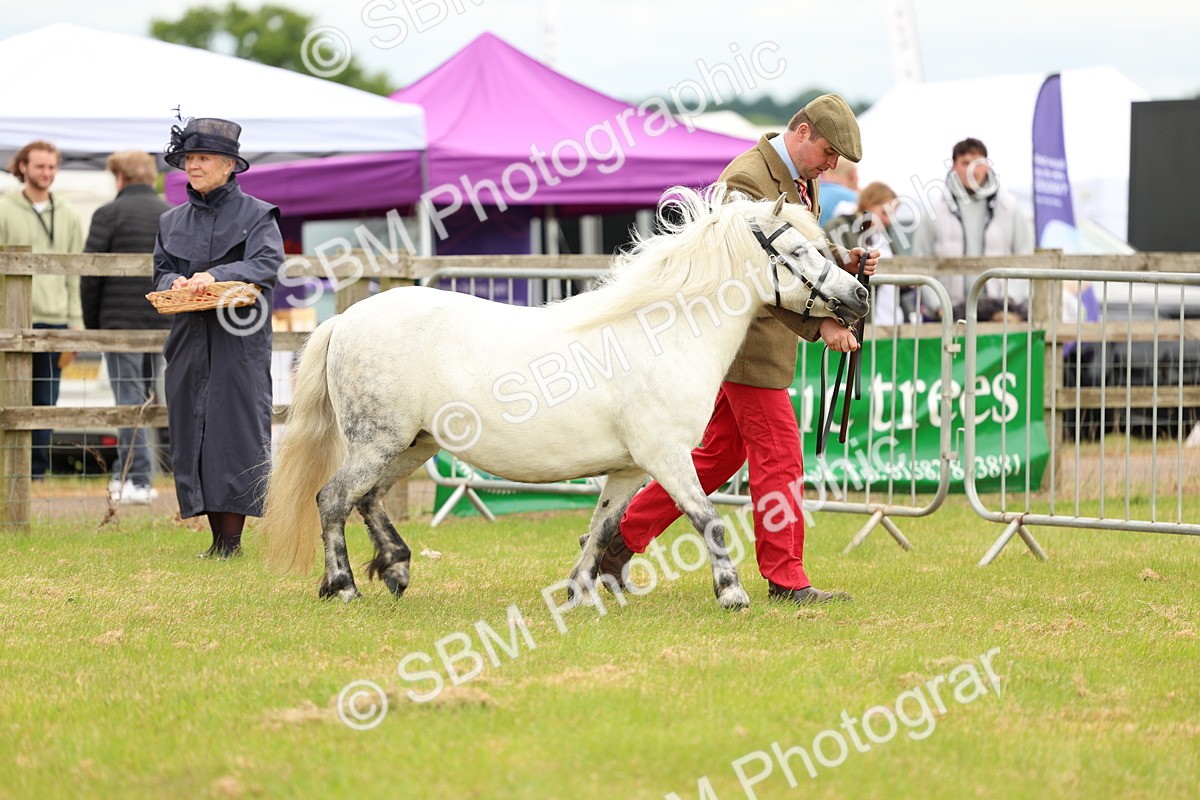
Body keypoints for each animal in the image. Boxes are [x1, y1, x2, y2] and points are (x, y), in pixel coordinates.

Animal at [262, 184, 870, 609]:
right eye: (798, 250)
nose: (859, 296)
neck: (664, 332)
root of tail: (344, 320)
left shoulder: (629, 468)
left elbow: (601, 528)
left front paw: (579, 592)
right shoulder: (666, 457)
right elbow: (707, 519)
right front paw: (733, 594)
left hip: (414, 446)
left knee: (367, 499)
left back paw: (395, 567)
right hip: (378, 442)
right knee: (333, 499)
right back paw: (343, 586)